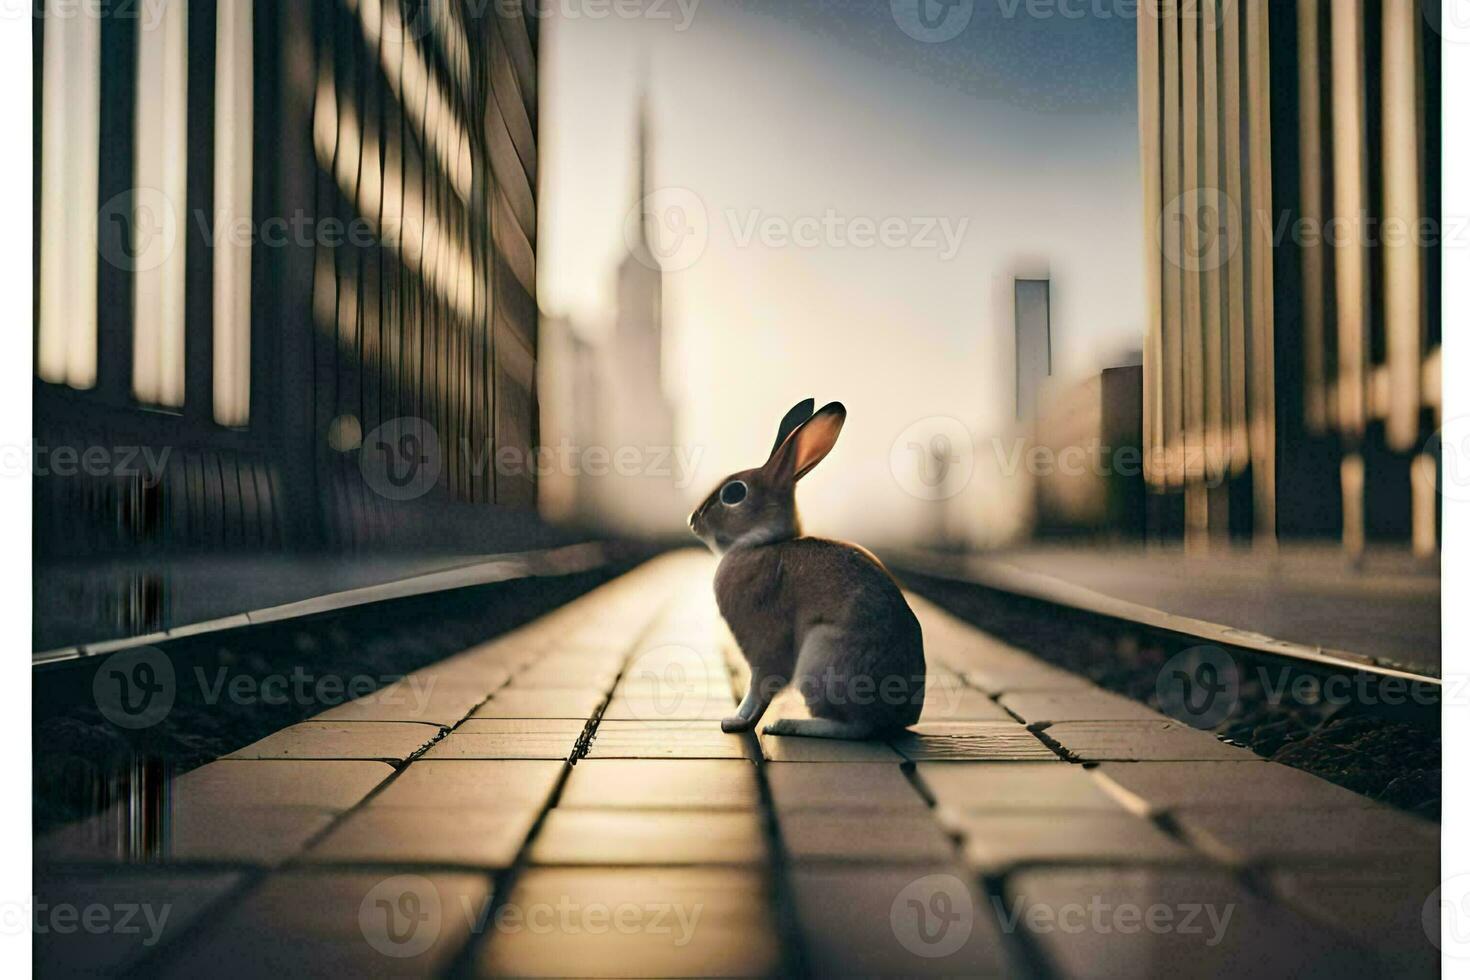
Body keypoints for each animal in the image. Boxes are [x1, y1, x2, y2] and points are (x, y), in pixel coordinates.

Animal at [685, 396, 917, 734]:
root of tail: (898, 718)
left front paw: (735, 721)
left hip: (820, 657)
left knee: (856, 727)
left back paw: (787, 725)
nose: (692, 520)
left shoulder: (763, 644)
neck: (760, 544)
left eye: (733, 493)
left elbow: (760, 686)